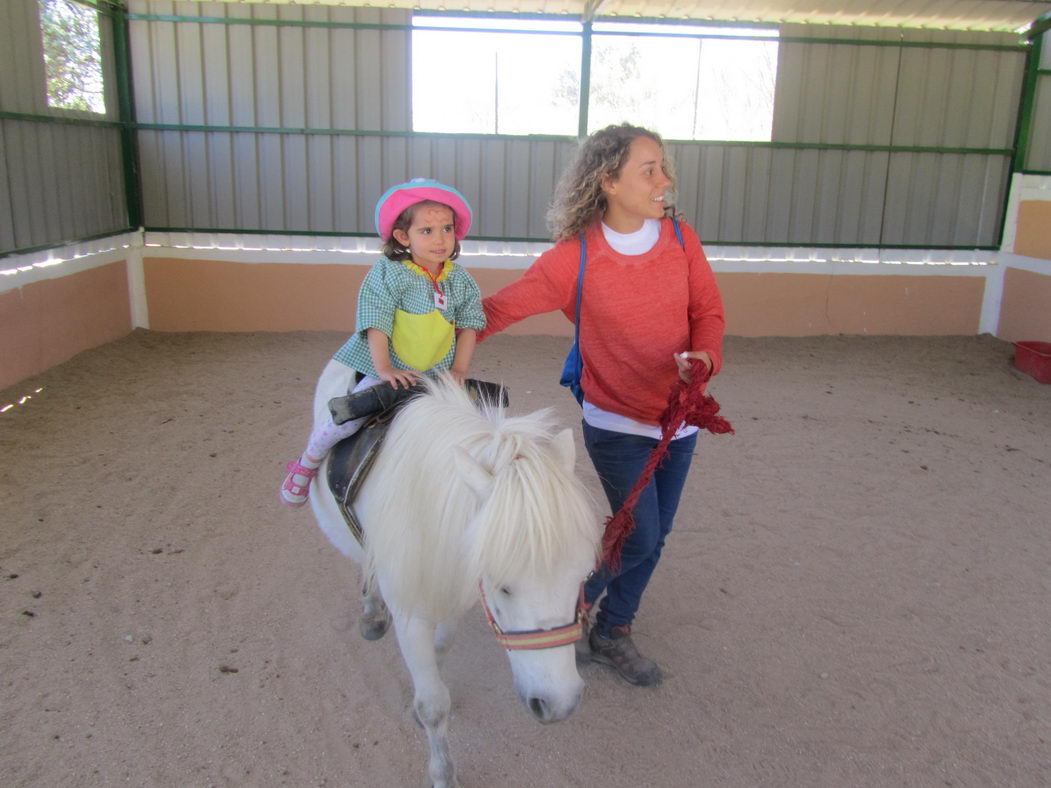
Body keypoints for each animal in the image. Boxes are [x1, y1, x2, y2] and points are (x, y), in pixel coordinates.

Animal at [306, 363, 601, 788]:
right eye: (502, 585)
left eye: (584, 574)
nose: (559, 704)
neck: (425, 508)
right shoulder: (411, 617)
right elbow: (433, 705)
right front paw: (444, 773)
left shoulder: (453, 596)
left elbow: (440, 652)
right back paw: (370, 612)